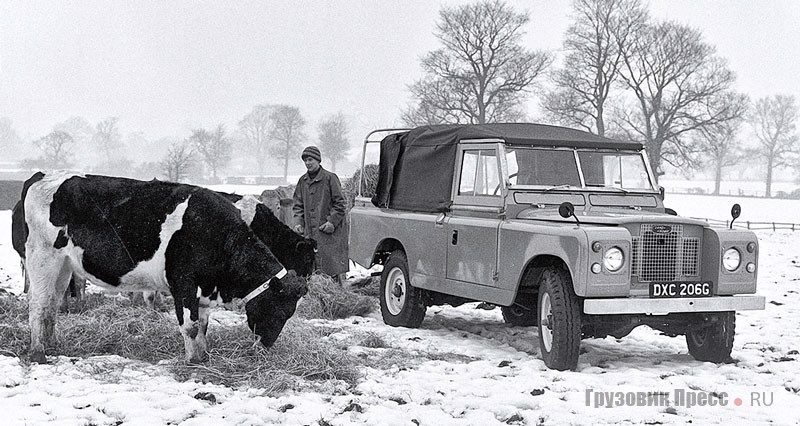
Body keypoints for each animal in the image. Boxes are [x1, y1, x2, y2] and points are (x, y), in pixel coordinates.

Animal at [21, 171, 310, 364]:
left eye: (289, 313)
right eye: (277, 309)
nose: (266, 346)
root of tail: (44, 177)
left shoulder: (204, 288)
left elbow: (203, 325)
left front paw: (203, 356)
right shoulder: (183, 282)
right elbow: (190, 325)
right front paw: (192, 361)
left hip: (64, 265)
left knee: (53, 303)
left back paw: (53, 344)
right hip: (42, 257)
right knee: (38, 303)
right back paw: (38, 352)